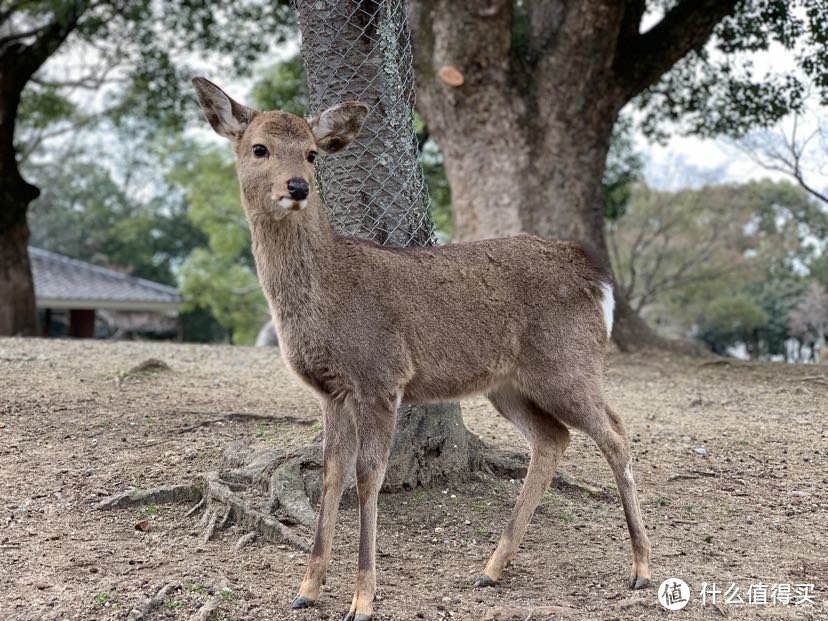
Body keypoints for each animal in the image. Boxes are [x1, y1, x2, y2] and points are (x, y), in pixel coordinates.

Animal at [191, 76, 652, 620]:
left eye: (311, 153)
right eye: (259, 148)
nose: (298, 187)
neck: (324, 297)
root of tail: (597, 277)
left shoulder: (380, 376)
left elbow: (369, 476)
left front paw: (362, 599)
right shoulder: (332, 390)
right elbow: (331, 473)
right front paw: (306, 589)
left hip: (569, 363)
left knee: (616, 433)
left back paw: (642, 568)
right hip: (510, 384)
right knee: (552, 438)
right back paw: (490, 569)